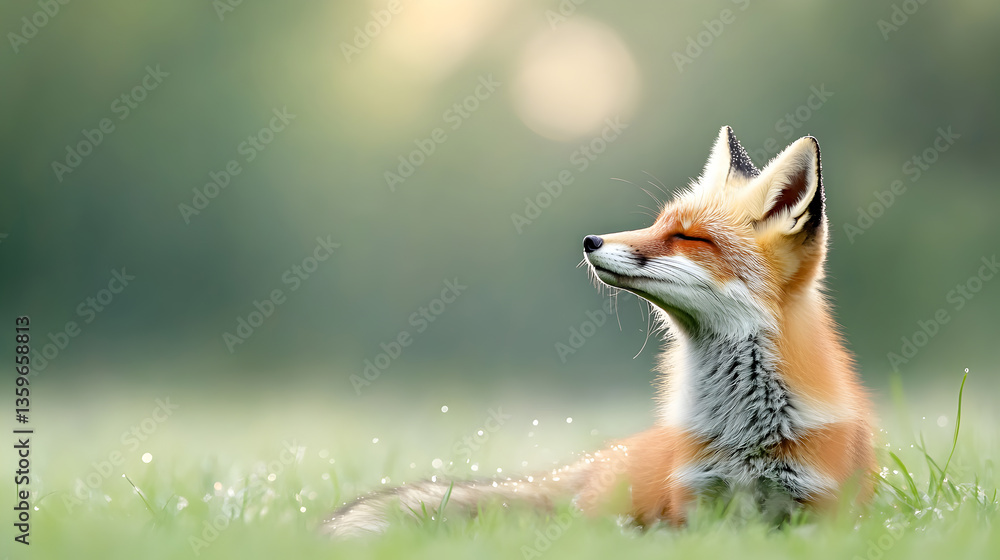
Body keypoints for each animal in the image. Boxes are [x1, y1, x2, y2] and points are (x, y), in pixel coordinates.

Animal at [321, 126, 876, 537]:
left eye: (689, 238)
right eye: (657, 225)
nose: (590, 240)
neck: (743, 428)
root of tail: (606, 456)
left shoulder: (816, 510)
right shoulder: (696, 502)